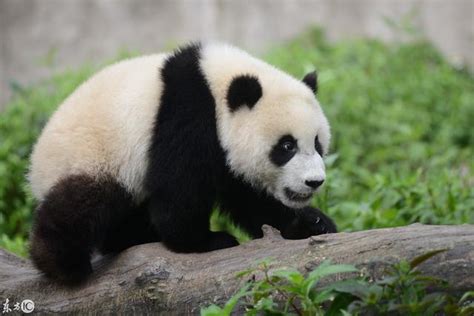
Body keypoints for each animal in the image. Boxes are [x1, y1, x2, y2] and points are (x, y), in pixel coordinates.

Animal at [27, 42, 336, 284]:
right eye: (287, 146)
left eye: (318, 144)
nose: (314, 182)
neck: (217, 83)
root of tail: (35, 165)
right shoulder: (187, 112)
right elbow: (180, 189)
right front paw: (206, 241)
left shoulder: (225, 154)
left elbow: (248, 197)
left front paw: (312, 223)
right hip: (93, 158)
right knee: (81, 204)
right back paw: (64, 264)